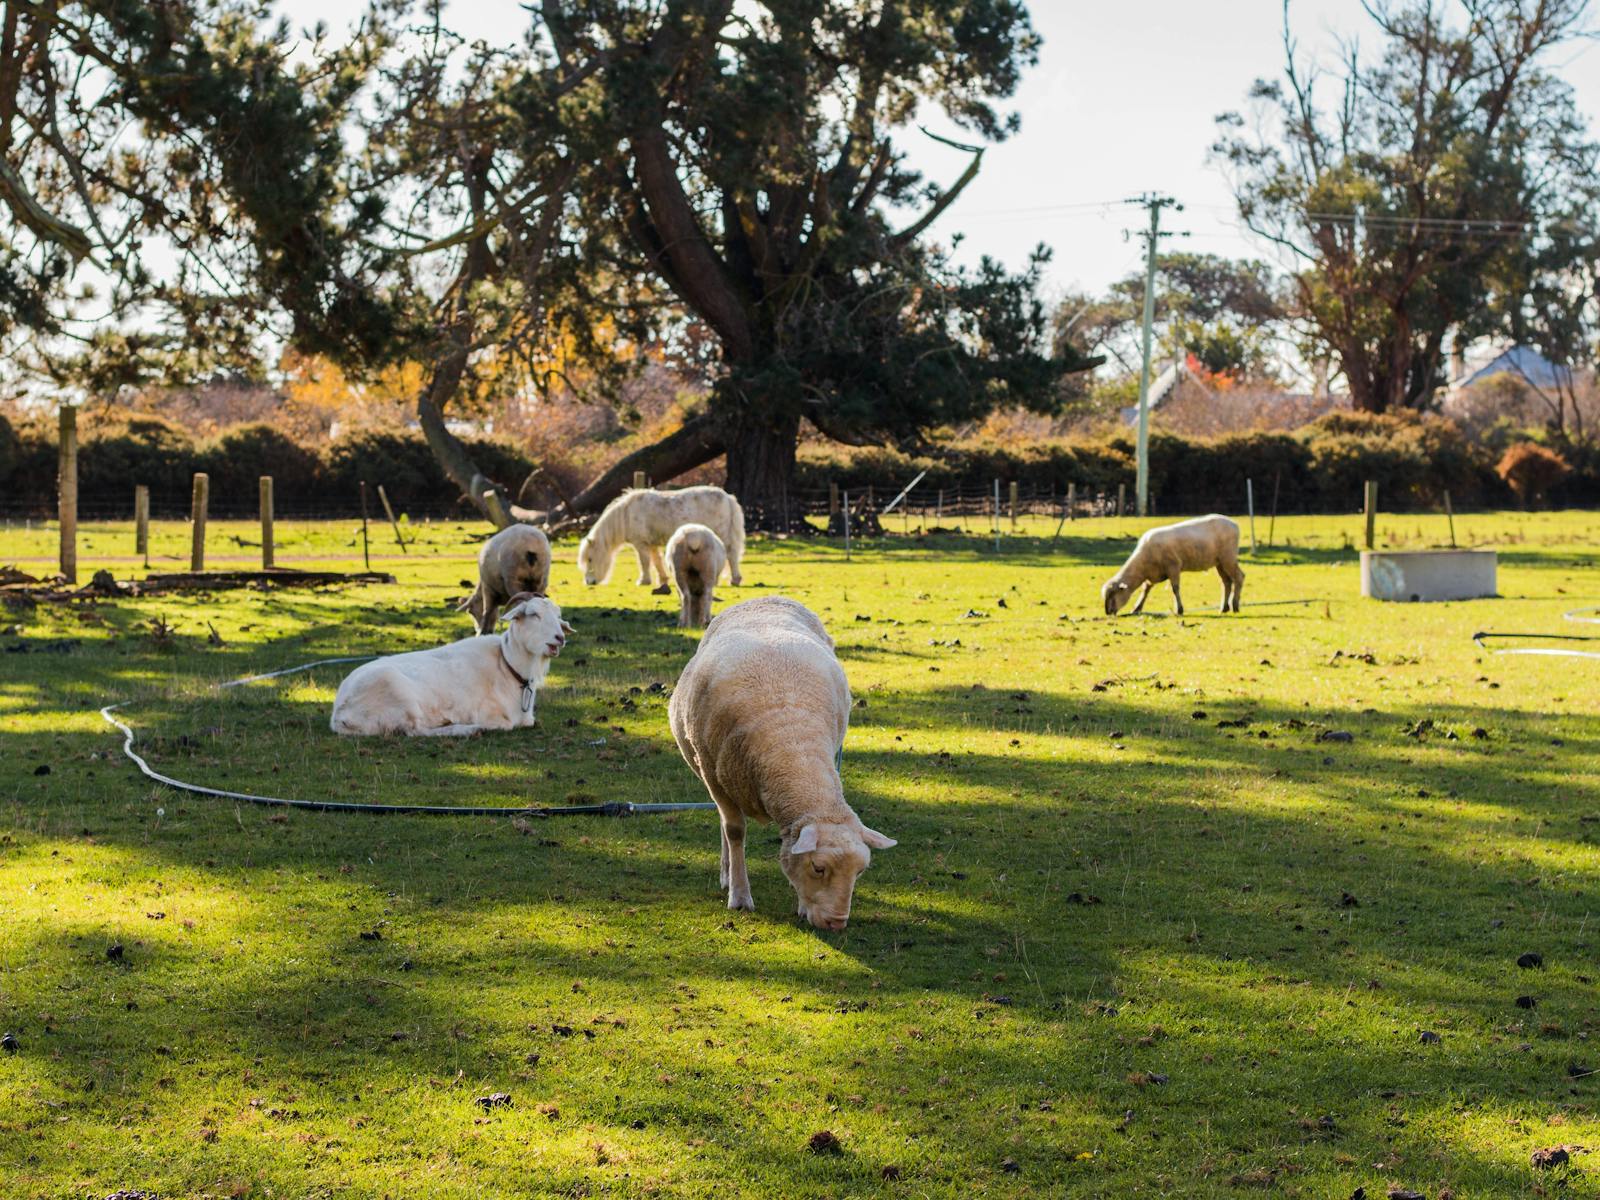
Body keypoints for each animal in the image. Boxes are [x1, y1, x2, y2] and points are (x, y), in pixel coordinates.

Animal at [328, 598, 572, 739]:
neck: (507, 664)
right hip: (399, 696)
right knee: (414, 731)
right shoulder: (489, 713)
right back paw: (467, 729)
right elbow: (506, 725)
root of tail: (339, 713)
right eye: (534, 615)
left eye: (559, 617)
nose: (559, 638)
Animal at [579, 486, 745, 595]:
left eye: (590, 559)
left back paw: (734, 580)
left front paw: (643, 581)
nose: (589, 582)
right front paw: (663, 580)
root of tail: (728, 497)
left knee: (731, 555)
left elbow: (644, 562)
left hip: (722, 535)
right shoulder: (651, 544)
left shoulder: (641, 544)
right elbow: (656, 562)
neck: (626, 515)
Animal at [665, 598, 902, 928]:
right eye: (818, 867)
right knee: (724, 825)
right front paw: (740, 896)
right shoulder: (715, 776)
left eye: (860, 871)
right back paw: (727, 873)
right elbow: (734, 830)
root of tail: (765, 599)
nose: (837, 923)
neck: (790, 738)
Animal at [1107, 515, 1241, 620]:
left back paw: (1235, 605)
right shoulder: (1153, 574)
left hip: (1228, 557)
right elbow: (1146, 589)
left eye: (1113, 595)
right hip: (1220, 562)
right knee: (1226, 582)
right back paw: (1224, 608)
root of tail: (1234, 524)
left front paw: (1179, 610)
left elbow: (1175, 589)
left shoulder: (1173, 567)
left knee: (1239, 577)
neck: (1142, 564)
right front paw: (1137, 608)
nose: (1108, 612)